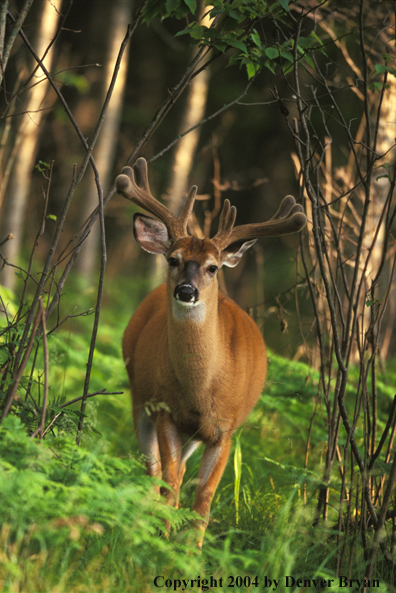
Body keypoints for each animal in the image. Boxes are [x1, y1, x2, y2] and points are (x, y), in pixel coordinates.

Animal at [115, 157, 306, 544]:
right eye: (173, 259)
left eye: (213, 267)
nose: (186, 291)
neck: (201, 391)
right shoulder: (167, 412)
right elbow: (169, 483)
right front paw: (163, 542)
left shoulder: (226, 429)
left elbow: (203, 497)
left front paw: (191, 550)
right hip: (141, 399)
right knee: (154, 472)